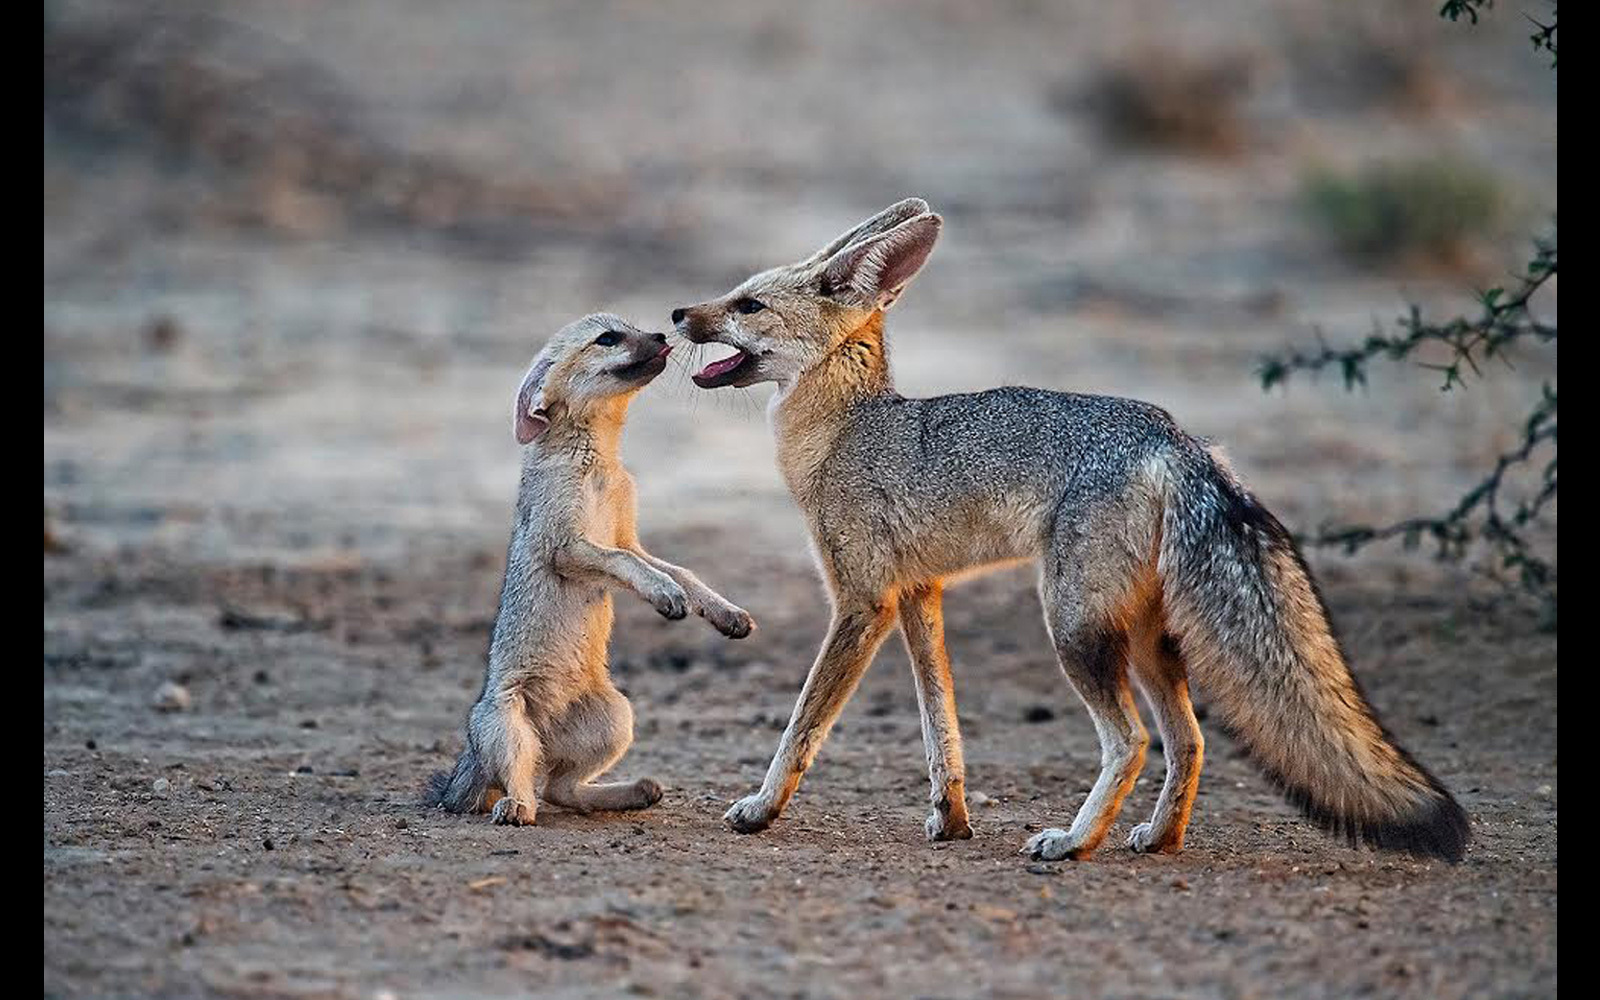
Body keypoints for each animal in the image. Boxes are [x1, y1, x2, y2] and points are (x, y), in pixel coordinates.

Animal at [668, 199, 1465, 864]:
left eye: (746, 304)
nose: (677, 312)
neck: (842, 431)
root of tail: (1177, 436)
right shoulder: (919, 596)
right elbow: (940, 725)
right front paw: (951, 817)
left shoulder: (862, 602)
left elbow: (804, 724)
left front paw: (761, 808)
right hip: (1143, 636)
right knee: (1189, 740)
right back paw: (1159, 837)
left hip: (1074, 625)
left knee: (1133, 742)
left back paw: (1075, 842)